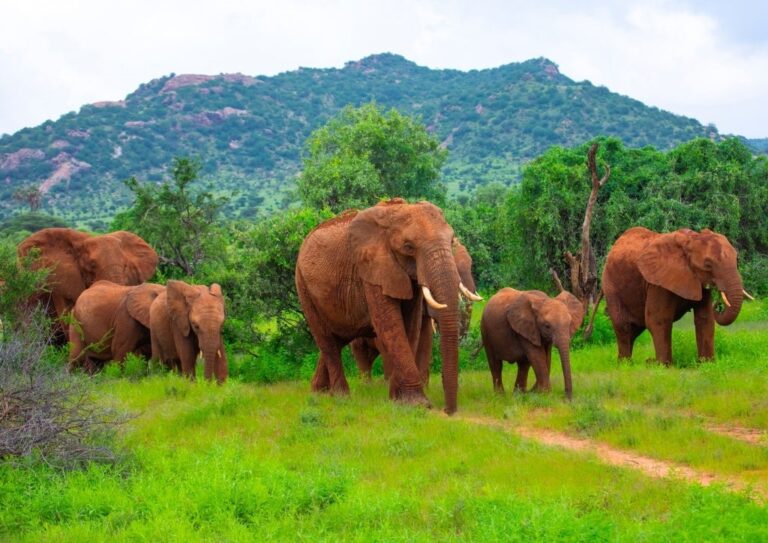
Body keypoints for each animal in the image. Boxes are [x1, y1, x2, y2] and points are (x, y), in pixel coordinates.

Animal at [294, 198, 474, 414]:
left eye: (451, 240)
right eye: (408, 246)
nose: (448, 410)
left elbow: (410, 327)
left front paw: (397, 399)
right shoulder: (371, 270)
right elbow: (390, 325)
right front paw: (417, 404)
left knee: (338, 338)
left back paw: (317, 393)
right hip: (303, 286)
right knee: (327, 340)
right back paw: (341, 398)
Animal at [600, 227, 752, 364]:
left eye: (737, 260)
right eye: (708, 265)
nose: (719, 305)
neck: (691, 240)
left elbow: (705, 319)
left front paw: (707, 363)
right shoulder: (658, 282)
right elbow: (658, 319)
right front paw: (663, 365)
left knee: (634, 329)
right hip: (610, 285)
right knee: (623, 326)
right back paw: (626, 364)